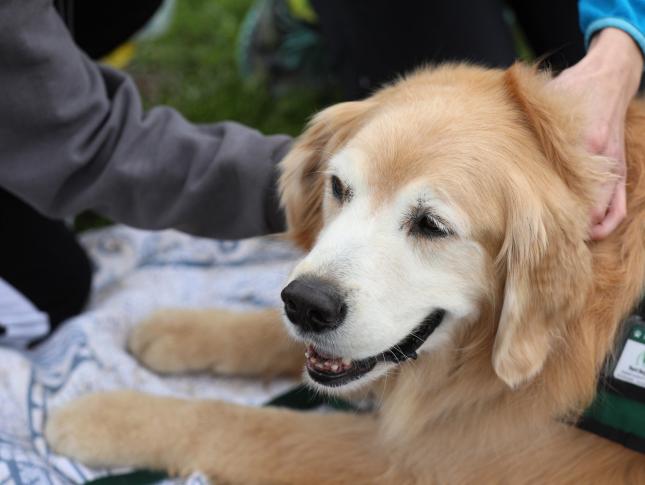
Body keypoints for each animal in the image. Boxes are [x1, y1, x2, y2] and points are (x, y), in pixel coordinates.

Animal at [44, 62, 644, 482]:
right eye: (338, 187)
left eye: (431, 225)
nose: (306, 304)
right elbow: (276, 334)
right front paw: (182, 330)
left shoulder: (421, 462)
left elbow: (248, 426)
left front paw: (108, 416)